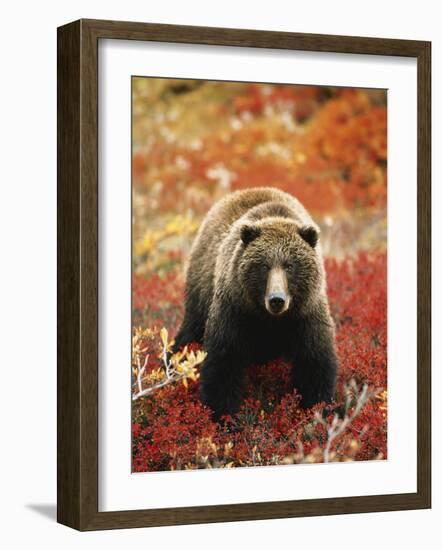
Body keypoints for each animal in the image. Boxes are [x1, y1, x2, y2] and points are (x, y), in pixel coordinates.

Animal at [174, 188, 338, 420]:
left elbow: (315, 364)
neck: (270, 320)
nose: (277, 299)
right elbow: (223, 363)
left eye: (290, 265)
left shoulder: (306, 315)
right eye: (264, 265)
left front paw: (317, 411)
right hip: (201, 288)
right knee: (189, 331)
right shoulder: (235, 310)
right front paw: (224, 416)